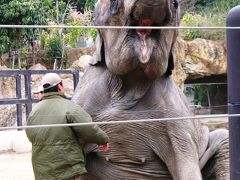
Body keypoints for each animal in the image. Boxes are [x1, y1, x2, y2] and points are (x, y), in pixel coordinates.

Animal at [72, 0, 230, 179]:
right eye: (115, 4)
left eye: (175, 4)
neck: (129, 83)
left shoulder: (175, 119)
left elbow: (185, 160)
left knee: (223, 136)